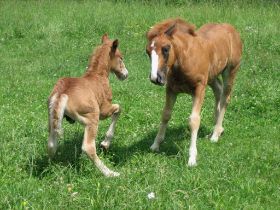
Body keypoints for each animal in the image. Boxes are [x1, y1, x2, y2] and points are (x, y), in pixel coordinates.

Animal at [47, 34, 129, 176]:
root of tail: (61, 93)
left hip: (53, 120)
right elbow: (118, 108)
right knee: (88, 147)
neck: (97, 75)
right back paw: (110, 173)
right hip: (92, 118)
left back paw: (53, 168)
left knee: (51, 145)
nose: (125, 74)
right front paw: (105, 143)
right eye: (121, 58)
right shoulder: (104, 110)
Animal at [147, 18, 243, 166]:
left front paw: (192, 158)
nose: (155, 78)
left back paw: (215, 134)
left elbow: (194, 120)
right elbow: (165, 114)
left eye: (166, 49)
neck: (184, 60)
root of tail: (231, 29)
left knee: (225, 97)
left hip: (230, 71)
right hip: (211, 76)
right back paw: (218, 128)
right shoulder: (171, 89)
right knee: (218, 90)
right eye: (147, 52)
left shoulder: (199, 89)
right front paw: (155, 144)